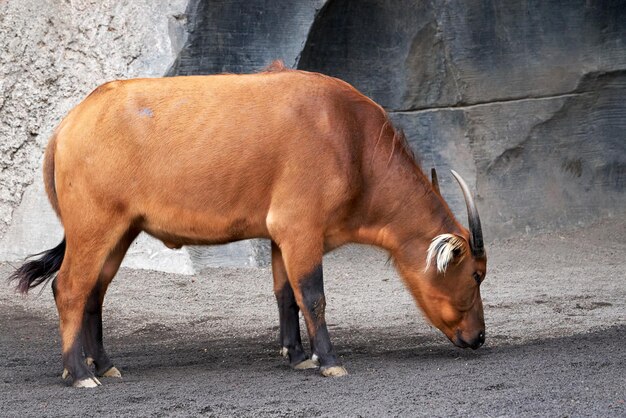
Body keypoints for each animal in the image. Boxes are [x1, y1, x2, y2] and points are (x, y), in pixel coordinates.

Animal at [11, 62, 488, 388]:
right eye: (477, 275)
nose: (480, 337)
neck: (351, 138)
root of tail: (69, 124)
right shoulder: (301, 230)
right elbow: (313, 296)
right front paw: (329, 361)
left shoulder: (281, 236)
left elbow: (285, 295)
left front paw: (297, 355)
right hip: (95, 227)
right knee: (69, 288)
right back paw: (78, 373)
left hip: (121, 231)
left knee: (93, 293)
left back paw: (105, 365)